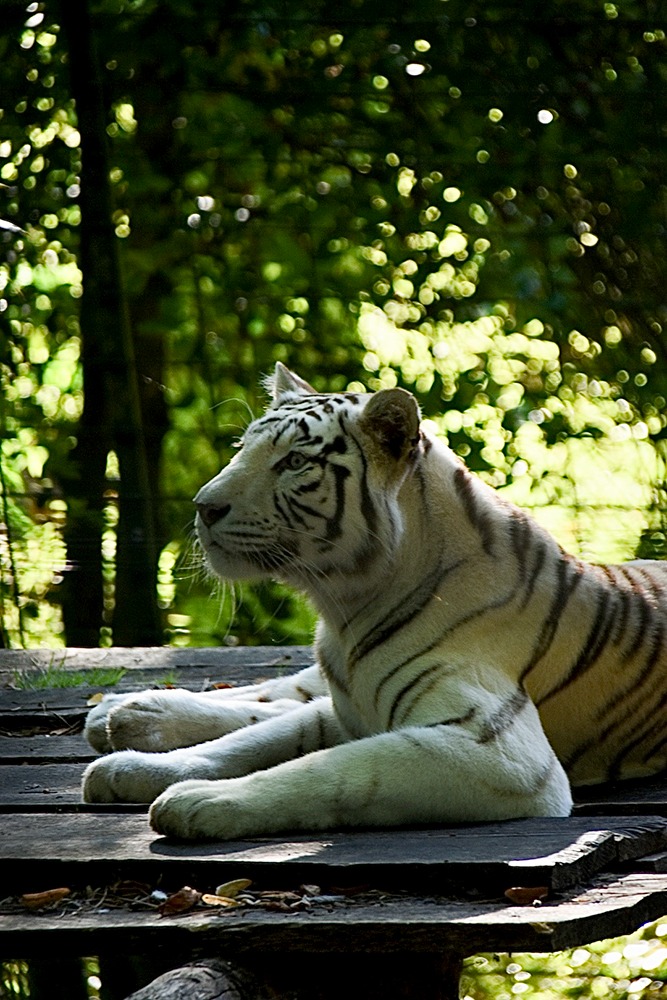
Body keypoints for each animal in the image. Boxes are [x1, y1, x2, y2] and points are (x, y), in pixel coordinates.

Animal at [83, 363, 667, 841]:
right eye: (241, 449)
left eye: (294, 462)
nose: (204, 507)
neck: (345, 608)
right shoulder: (350, 705)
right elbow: (254, 740)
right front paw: (132, 769)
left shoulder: (501, 753)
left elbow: (333, 766)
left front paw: (201, 799)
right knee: (282, 695)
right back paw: (125, 712)